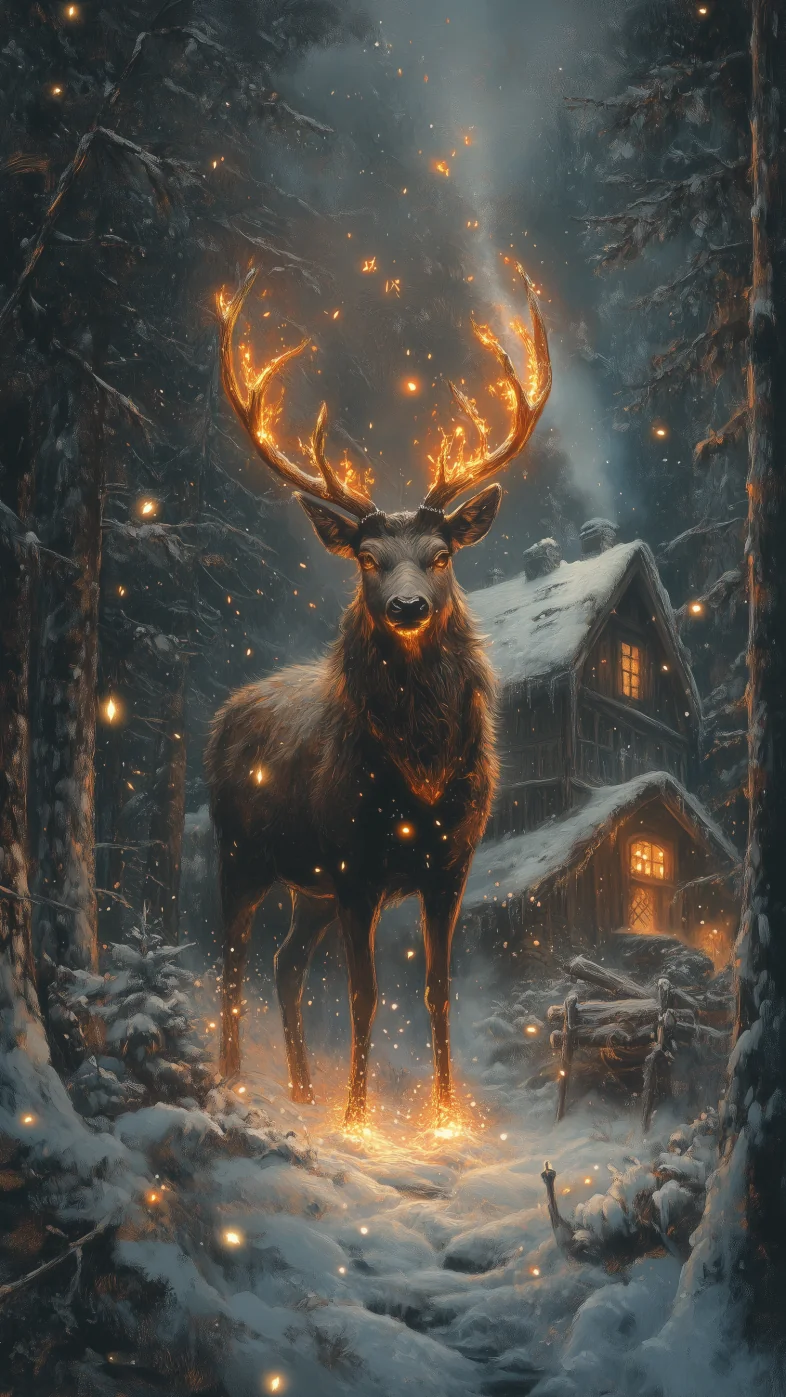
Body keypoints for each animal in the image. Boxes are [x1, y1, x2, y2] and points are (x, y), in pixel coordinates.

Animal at [205, 263, 551, 1127]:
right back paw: (234, 1079)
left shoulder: (451, 863)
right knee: (234, 958)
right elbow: (364, 996)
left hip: (310, 888)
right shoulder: (353, 861)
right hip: (240, 850)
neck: (418, 777)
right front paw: (359, 1116)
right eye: (367, 557)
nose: (407, 606)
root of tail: (223, 713)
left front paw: (445, 1114)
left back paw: (300, 1087)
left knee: (287, 962)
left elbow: (436, 991)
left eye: (441, 553)